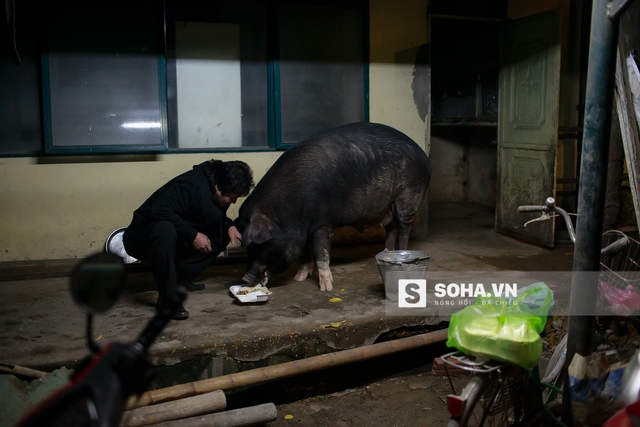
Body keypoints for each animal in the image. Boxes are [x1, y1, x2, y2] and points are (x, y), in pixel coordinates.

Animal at [235, 122, 430, 292]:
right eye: (248, 247)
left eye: (261, 245)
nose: (245, 278)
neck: (288, 212)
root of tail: (423, 155)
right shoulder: (302, 232)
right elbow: (305, 253)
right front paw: (299, 278)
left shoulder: (324, 223)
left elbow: (321, 253)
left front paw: (326, 289)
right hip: (387, 204)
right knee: (391, 227)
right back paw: (387, 252)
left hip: (409, 193)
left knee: (403, 226)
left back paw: (402, 251)